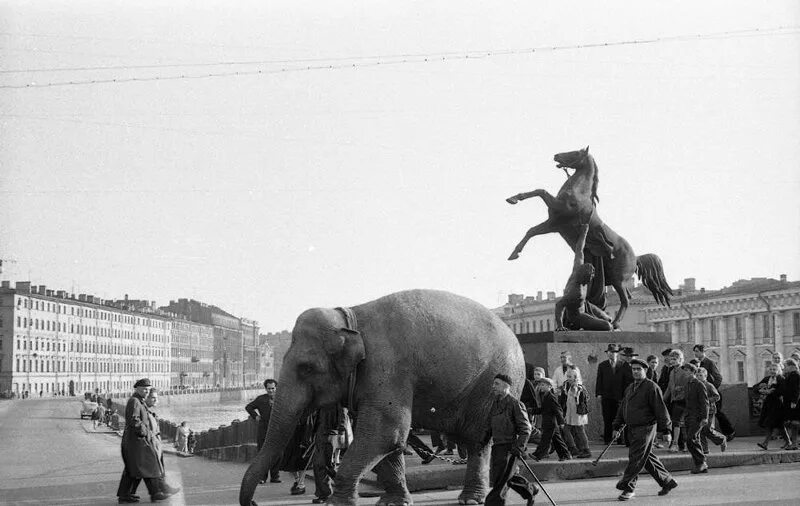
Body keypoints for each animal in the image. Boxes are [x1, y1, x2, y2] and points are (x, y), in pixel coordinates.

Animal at [238, 288, 524, 506]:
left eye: (306, 368)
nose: (252, 502)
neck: (349, 318)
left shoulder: (387, 368)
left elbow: (385, 433)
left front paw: (338, 503)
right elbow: (390, 440)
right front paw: (393, 502)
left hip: (494, 384)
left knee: (477, 440)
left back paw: (472, 498)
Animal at [506, 146, 676, 328]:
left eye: (575, 152)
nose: (556, 155)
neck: (579, 192)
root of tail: (636, 257)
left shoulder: (558, 214)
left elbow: (541, 191)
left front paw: (513, 199)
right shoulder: (553, 224)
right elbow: (531, 230)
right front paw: (514, 252)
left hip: (619, 279)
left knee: (626, 300)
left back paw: (614, 323)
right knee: (625, 298)